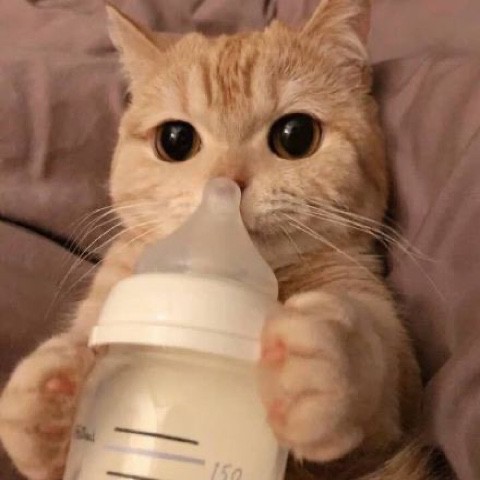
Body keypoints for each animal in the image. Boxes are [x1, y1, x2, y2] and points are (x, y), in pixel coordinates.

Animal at [0, 1, 435, 479]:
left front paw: (328, 362)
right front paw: (43, 397)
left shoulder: (396, 413)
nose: (227, 184)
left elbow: (378, 381)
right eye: (175, 140)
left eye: (296, 135)